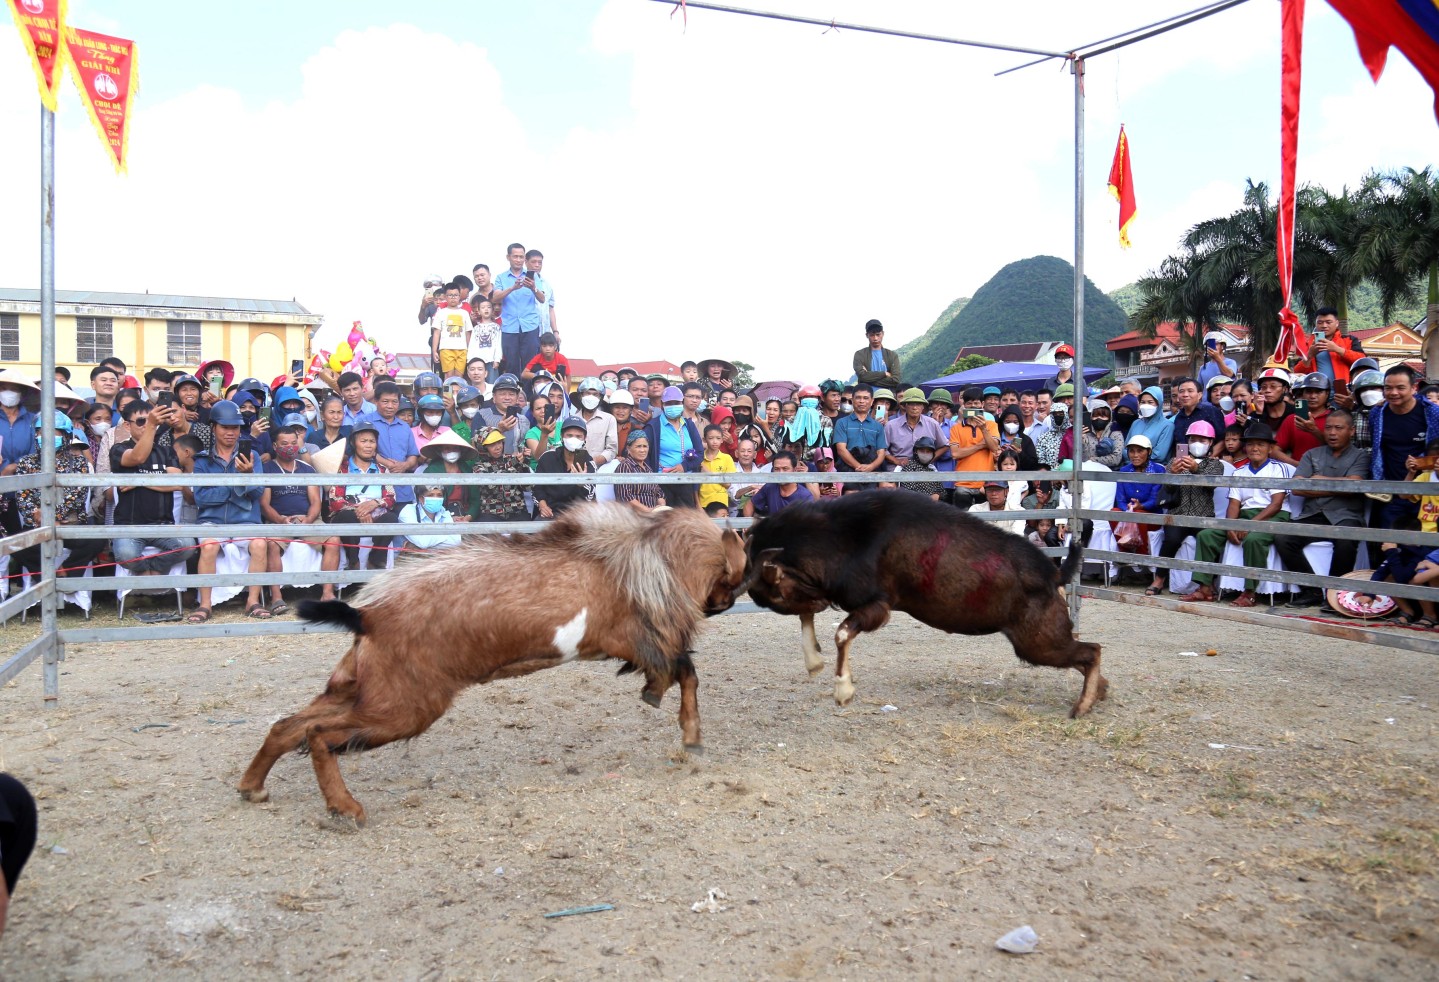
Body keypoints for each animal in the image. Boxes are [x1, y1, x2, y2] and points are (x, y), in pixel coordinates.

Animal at [237, 501, 748, 823]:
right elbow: (683, 670)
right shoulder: (637, 639)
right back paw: (345, 808)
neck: (646, 550)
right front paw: (687, 731)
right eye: (731, 578)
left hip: (360, 687)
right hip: (403, 707)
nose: (726, 603)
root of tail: (368, 615)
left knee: (289, 725)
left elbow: (683, 671)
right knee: (319, 735)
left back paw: (252, 786)